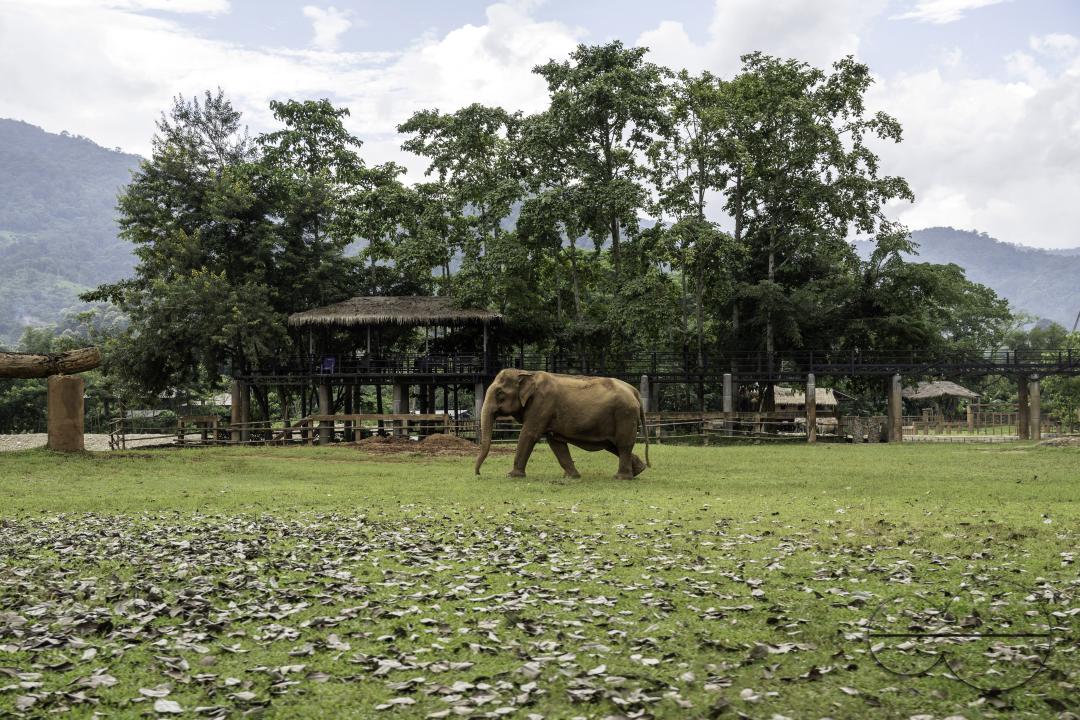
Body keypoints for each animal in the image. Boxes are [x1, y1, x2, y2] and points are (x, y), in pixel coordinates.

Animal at [474, 369, 650, 480]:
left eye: (500, 394)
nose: (478, 474)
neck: (527, 373)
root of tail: (634, 391)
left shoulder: (542, 404)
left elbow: (529, 434)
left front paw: (511, 475)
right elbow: (555, 442)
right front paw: (572, 476)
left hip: (624, 414)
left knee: (623, 444)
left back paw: (621, 477)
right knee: (614, 445)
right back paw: (639, 470)